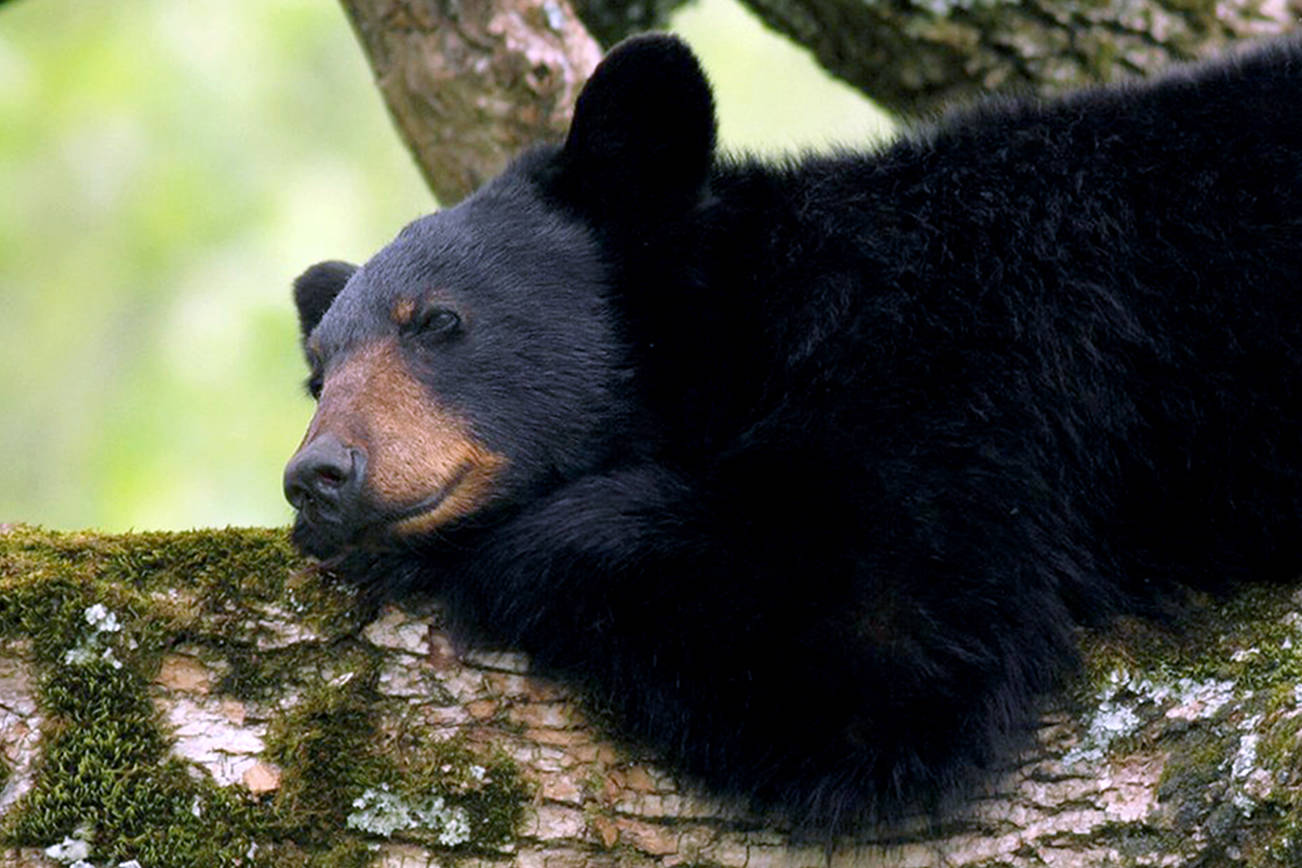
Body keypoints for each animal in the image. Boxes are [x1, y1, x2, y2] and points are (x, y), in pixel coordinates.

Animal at [282, 33, 1302, 832]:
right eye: (319, 374)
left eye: (437, 320)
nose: (318, 476)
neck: (763, 316)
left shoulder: (964, 368)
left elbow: (878, 641)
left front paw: (457, 550)